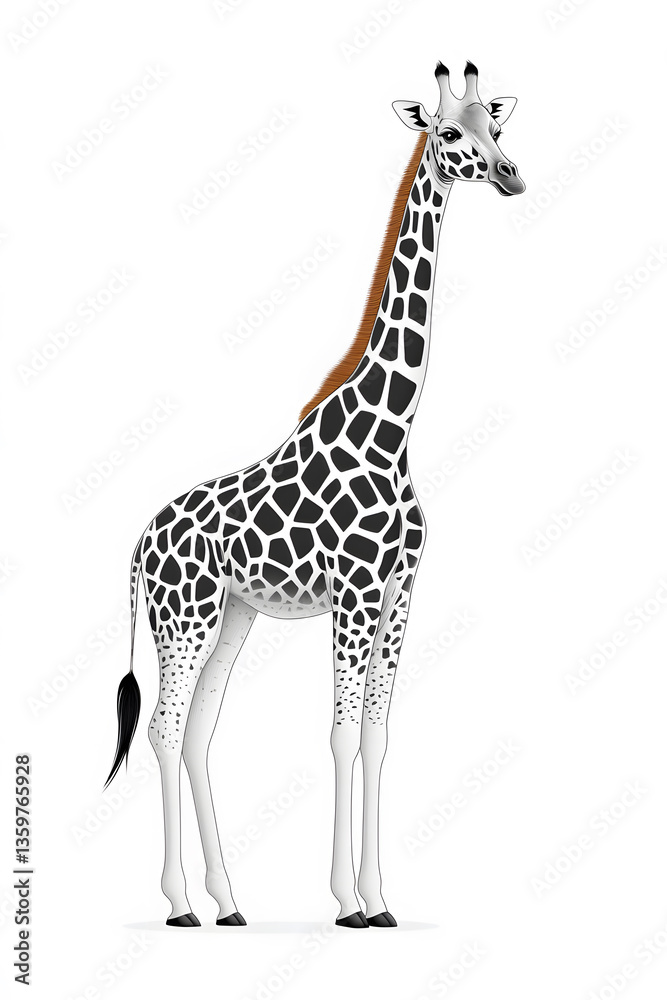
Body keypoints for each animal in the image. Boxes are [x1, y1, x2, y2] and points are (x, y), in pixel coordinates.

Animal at [106, 61, 524, 929]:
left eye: (497, 127)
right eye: (448, 132)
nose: (511, 175)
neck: (391, 430)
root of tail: (139, 541)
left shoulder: (400, 592)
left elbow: (377, 733)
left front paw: (381, 898)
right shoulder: (355, 594)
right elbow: (338, 734)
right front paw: (346, 903)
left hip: (231, 616)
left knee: (197, 732)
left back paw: (230, 902)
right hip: (182, 618)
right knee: (163, 726)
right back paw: (180, 903)